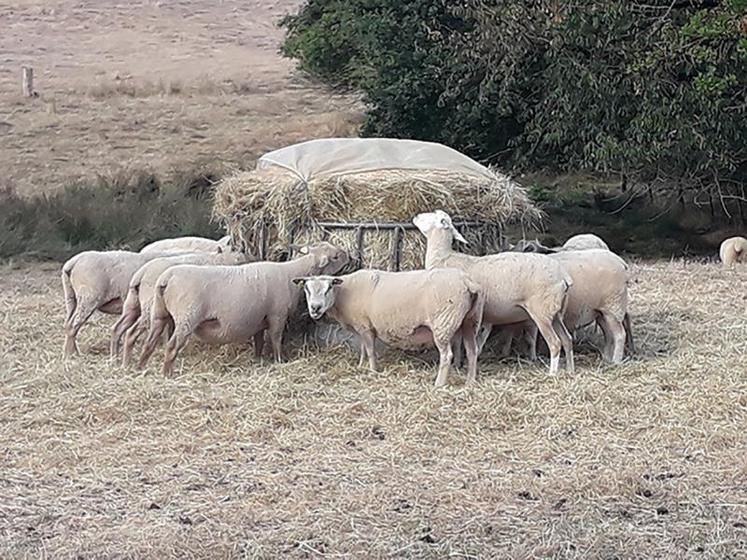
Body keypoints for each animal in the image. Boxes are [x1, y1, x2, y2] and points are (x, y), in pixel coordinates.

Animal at [61, 250, 190, 356]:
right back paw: (70, 355)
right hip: (88, 298)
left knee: (68, 323)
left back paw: (73, 352)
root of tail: (73, 262)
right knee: (73, 325)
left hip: (71, 297)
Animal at [109, 250, 253, 366]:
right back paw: (126, 363)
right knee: (131, 332)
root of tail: (141, 273)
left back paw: (116, 359)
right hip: (149, 306)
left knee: (118, 328)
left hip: (133, 304)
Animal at [137, 243, 348, 374]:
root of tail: (166, 278)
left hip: (159, 313)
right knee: (172, 346)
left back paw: (141, 368)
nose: (349, 255)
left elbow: (259, 341)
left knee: (149, 342)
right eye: (336, 256)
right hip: (186, 317)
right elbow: (276, 339)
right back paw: (168, 374)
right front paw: (280, 360)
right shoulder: (277, 315)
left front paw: (258, 359)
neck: (290, 272)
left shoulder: (259, 318)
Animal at [292, 270, 486, 388]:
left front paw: (372, 371)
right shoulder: (362, 327)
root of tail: (468, 283)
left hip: (443, 324)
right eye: (307, 289)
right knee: (472, 351)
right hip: (470, 321)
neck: (343, 294)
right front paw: (361, 366)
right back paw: (470, 382)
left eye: (329, 287)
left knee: (447, 355)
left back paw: (439, 384)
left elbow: (370, 351)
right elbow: (363, 349)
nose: (315, 308)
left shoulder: (365, 327)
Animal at [412, 210, 576, 376]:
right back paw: (570, 370)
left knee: (555, 343)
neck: (443, 257)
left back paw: (552, 374)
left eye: (437, 218)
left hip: (542, 312)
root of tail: (563, 276)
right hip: (555, 313)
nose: (416, 217)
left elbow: (458, 343)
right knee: (567, 339)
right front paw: (459, 364)